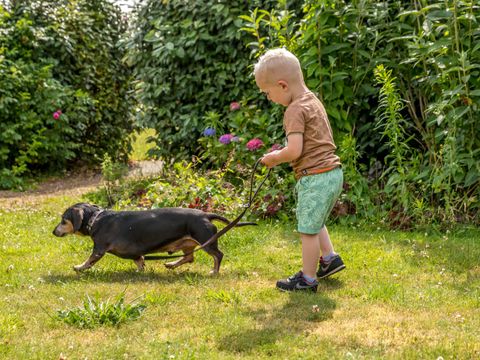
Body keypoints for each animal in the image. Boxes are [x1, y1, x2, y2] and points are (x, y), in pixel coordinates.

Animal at [52, 202, 255, 272]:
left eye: (63, 220)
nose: (53, 232)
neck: (96, 219)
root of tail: (206, 214)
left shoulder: (99, 248)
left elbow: (89, 261)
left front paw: (79, 267)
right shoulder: (136, 253)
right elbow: (139, 260)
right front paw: (141, 270)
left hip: (206, 241)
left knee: (218, 255)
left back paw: (214, 271)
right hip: (188, 244)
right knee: (189, 257)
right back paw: (171, 264)